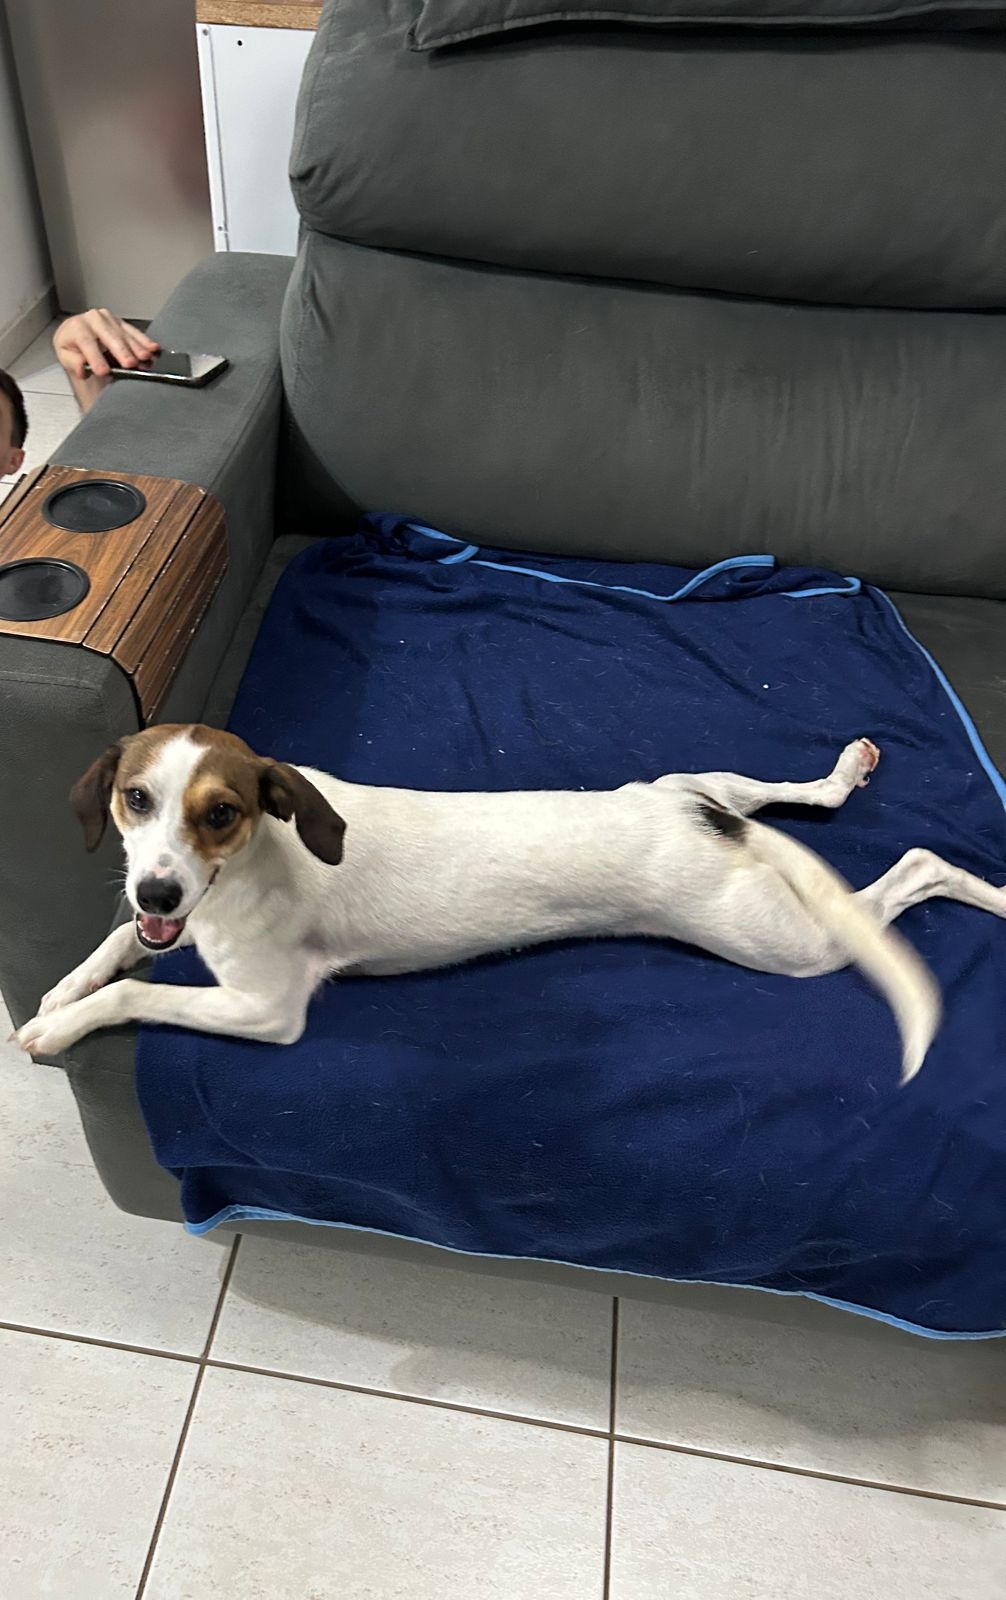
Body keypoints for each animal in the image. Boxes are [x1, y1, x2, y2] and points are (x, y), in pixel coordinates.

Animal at [12, 725, 1006, 1080]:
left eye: (220, 812)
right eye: (135, 800)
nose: (157, 885)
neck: (253, 862)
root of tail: (712, 828)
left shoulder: (267, 1007)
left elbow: (135, 989)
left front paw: (58, 1027)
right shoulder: (178, 925)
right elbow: (119, 949)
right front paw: (61, 990)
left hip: (781, 939)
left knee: (916, 866)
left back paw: (987, 893)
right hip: (702, 784)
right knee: (798, 799)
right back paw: (843, 770)